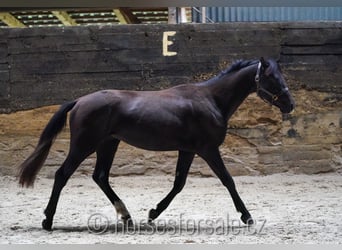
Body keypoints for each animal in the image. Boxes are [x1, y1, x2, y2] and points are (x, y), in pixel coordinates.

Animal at [18, 57, 294, 230]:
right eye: (271, 77)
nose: (290, 104)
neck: (211, 100)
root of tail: (79, 101)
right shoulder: (208, 150)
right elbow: (228, 180)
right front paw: (247, 217)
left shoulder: (188, 150)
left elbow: (179, 184)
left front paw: (152, 213)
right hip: (84, 145)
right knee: (62, 174)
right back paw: (48, 220)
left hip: (108, 144)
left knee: (100, 176)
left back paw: (127, 216)